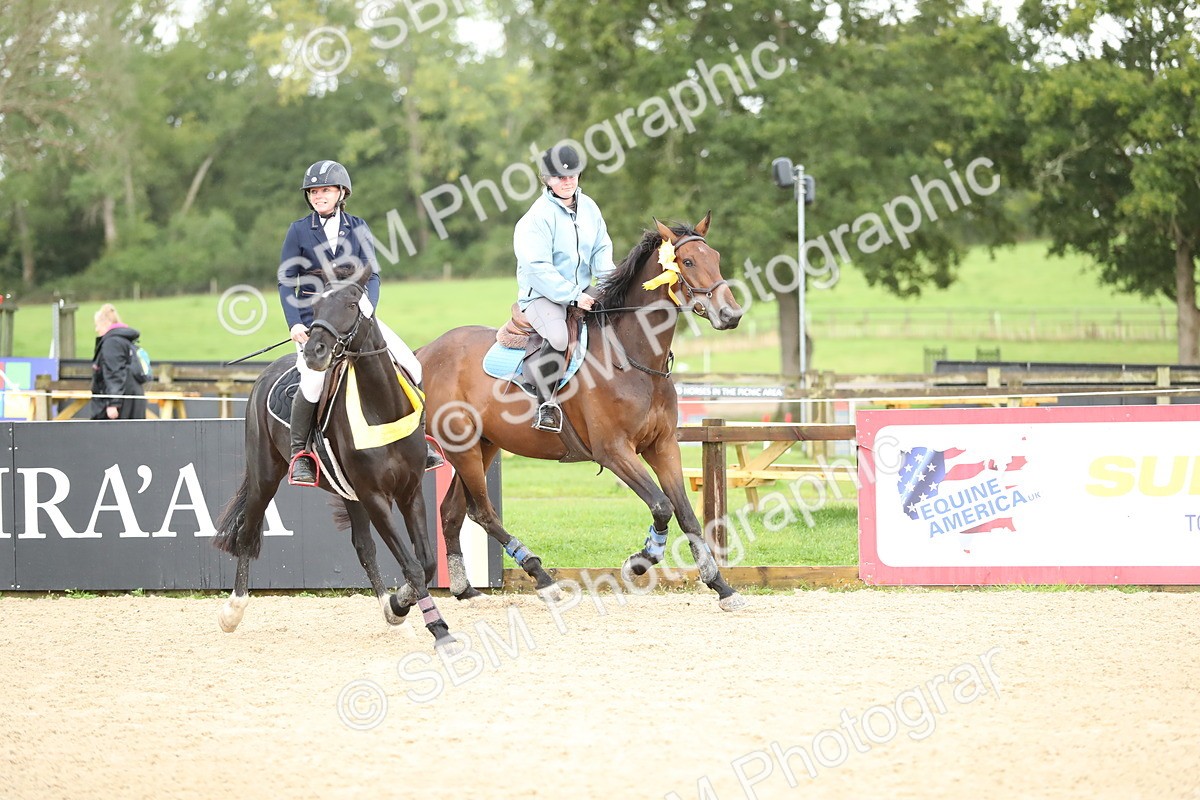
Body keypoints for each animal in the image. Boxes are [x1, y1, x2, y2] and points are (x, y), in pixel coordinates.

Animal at [212, 264, 453, 645]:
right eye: (315, 305)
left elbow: (425, 563)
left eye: (353, 305)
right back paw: (232, 612)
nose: (314, 352)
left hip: (348, 491)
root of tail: (267, 372)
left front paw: (399, 605)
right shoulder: (374, 495)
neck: (381, 407)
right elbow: (413, 567)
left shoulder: (409, 490)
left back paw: (390, 612)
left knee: (364, 548)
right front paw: (433, 624)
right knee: (248, 533)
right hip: (265, 476)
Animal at [417, 212, 748, 611]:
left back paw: (464, 588)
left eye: (714, 257)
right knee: (481, 512)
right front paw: (638, 562)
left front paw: (721, 586)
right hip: (463, 448)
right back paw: (543, 579)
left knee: (452, 512)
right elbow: (661, 505)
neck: (633, 357)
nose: (731, 314)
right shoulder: (615, 451)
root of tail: (424, 352)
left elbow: (685, 514)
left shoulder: (662, 445)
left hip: (484, 446)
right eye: (687, 262)